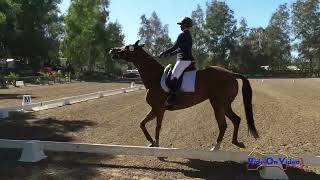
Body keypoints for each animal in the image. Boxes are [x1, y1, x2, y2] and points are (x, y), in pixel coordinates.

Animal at [110, 40, 260, 150]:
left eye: (126, 47)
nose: (112, 50)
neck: (155, 78)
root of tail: (231, 74)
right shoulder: (156, 109)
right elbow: (142, 123)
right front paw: (151, 142)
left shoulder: (159, 109)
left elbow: (157, 127)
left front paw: (156, 144)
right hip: (224, 105)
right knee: (236, 120)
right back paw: (235, 142)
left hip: (218, 104)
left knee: (223, 125)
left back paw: (215, 147)